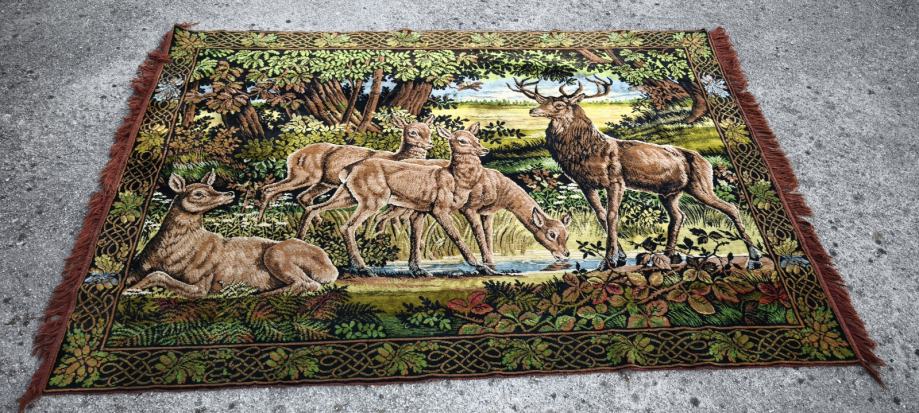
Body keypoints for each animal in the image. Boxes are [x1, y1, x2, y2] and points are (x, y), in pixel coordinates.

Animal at [125, 171, 338, 298]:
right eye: (199, 193)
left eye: (211, 187)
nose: (228, 193)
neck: (169, 254)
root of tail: (330, 267)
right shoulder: (139, 266)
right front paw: (128, 287)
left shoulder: (202, 281)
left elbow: (160, 275)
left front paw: (131, 290)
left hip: (276, 254)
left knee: (307, 284)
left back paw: (253, 293)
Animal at [256, 116, 435, 237]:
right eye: (413, 132)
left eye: (429, 131)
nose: (429, 144)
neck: (396, 157)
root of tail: (292, 157)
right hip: (304, 176)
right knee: (271, 189)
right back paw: (260, 223)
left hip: (324, 183)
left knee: (303, 197)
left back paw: (320, 224)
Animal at [304, 124, 498, 276]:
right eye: (462, 140)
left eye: (476, 138)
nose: (484, 150)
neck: (455, 180)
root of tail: (349, 169)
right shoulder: (439, 209)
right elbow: (457, 237)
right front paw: (482, 267)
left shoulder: (421, 211)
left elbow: (415, 237)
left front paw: (418, 270)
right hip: (372, 200)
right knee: (347, 226)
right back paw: (363, 268)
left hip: (347, 196)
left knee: (314, 208)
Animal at [508, 76, 762, 271]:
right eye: (542, 100)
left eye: (559, 105)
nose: (533, 109)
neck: (587, 152)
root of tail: (706, 162)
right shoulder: (585, 184)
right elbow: (601, 216)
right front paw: (619, 257)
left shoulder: (615, 180)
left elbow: (612, 216)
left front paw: (608, 261)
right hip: (670, 193)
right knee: (678, 216)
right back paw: (670, 255)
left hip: (701, 185)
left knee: (731, 207)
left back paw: (755, 256)